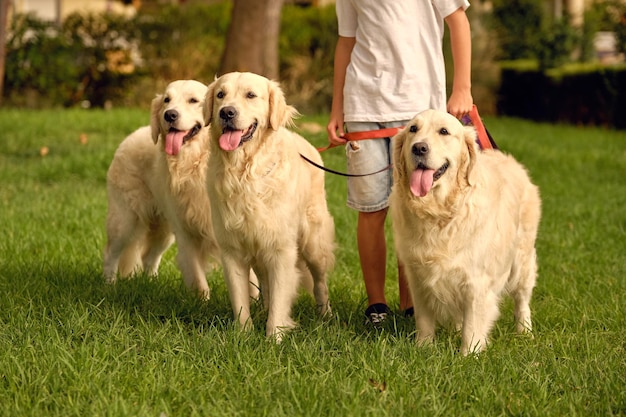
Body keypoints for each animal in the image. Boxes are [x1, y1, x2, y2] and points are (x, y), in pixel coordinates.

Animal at [103, 79, 258, 300]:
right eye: (166, 100)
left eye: (193, 100)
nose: (170, 115)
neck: (194, 164)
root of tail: (128, 138)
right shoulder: (186, 235)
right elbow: (199, 281)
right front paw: (202, 304)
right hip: (126, 220)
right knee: (111, 254)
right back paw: (109, 286)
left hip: (163, 229)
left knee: (149, 257)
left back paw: (151, 283)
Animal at [202, 70, 334, 338]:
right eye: (220, 94)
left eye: (251, 95)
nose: (226, 112)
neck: (244, 174)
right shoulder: (232, 250)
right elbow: (240, 299)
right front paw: (243, 335)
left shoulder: (281, 249)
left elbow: (280, 297)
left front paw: (274, 337)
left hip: (313, 242)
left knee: (320, 281)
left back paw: (324, 314)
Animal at [388, 108, 540, 354]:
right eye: (413, 129)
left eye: (444, 131)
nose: (419, 148)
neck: (438, 213)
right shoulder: (418, 276)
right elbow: (424, 319)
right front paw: (423, 349)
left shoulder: (476, 281)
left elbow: (473, 325)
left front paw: (468, 356)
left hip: (521, 261)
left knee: (522, 300)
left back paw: (525, 332)